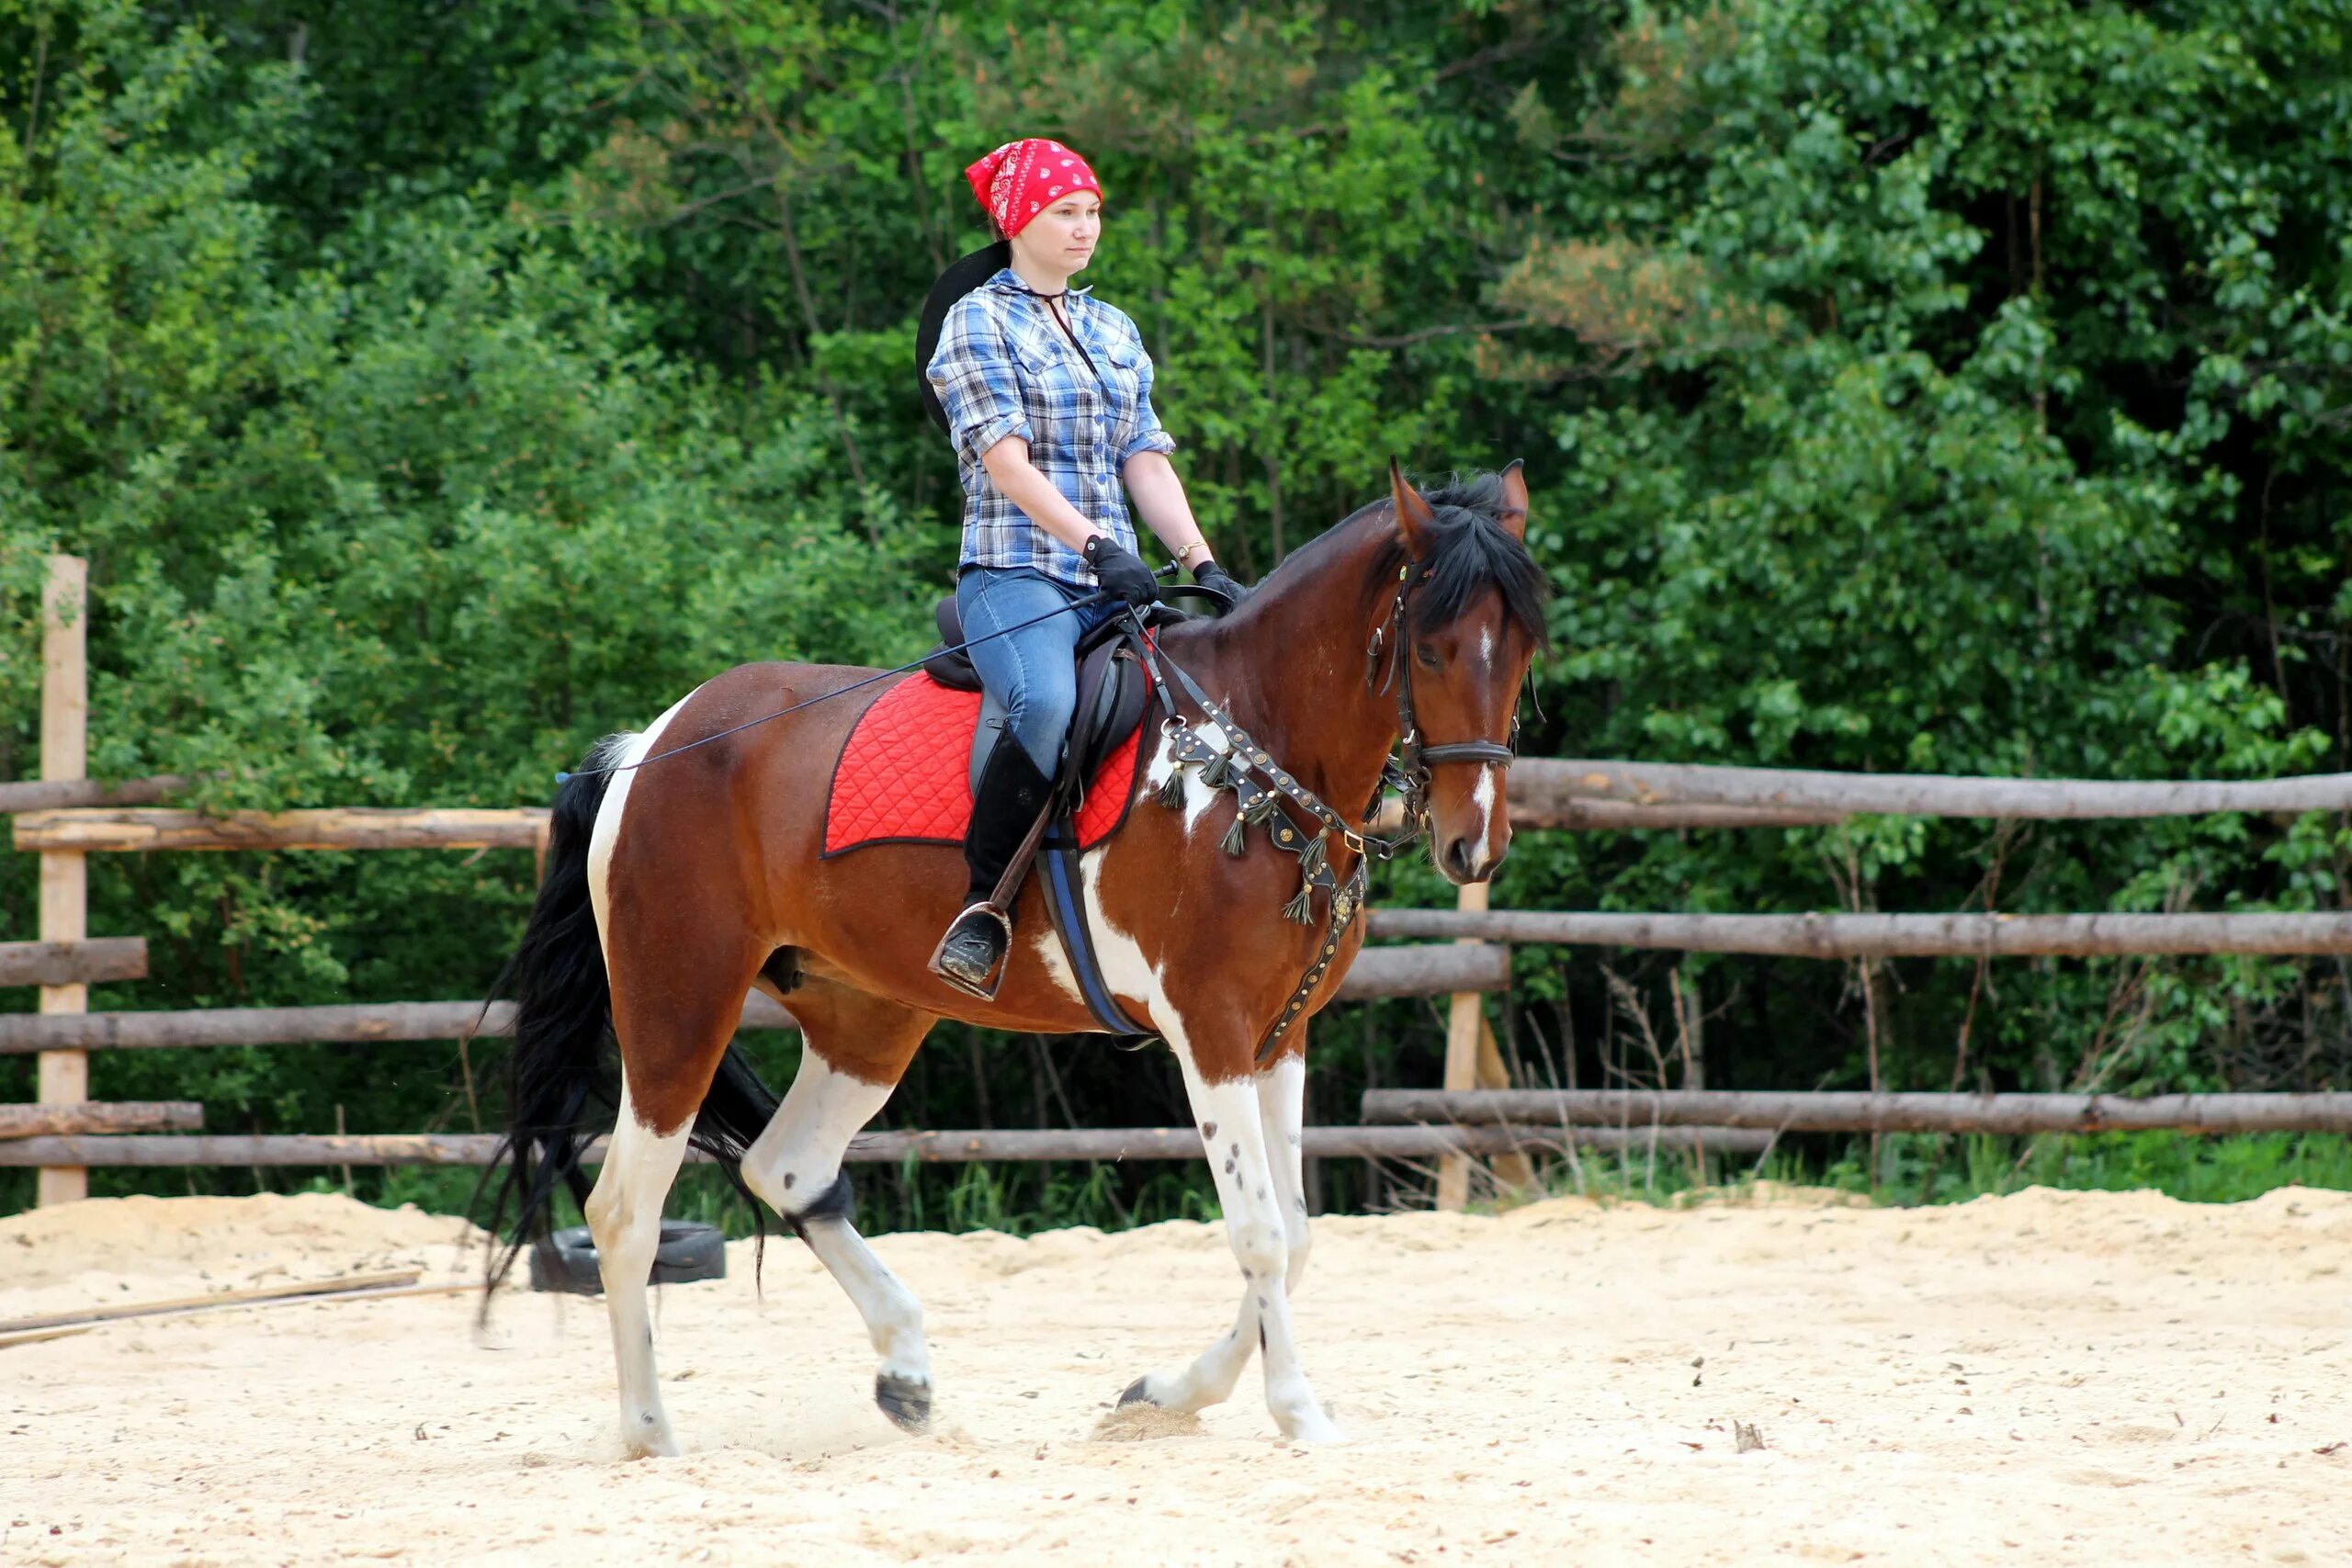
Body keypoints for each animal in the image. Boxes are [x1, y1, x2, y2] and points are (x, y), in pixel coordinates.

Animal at [481, 460, 1543, 1457]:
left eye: (1523, 651)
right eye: (1431, 647)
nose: (1473, 846)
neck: (1246, 757)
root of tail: (648, 744)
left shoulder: (1279, 1035)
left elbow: (1301, 1233)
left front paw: (1165, 1394)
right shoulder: (1210, 1029)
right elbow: (1261, 1233)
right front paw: (1298, 1413)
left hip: (869, 1020)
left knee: (784, 1170)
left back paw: (905, 1370)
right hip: (679, 1006)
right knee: (626, 1211)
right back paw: (653, 1434)